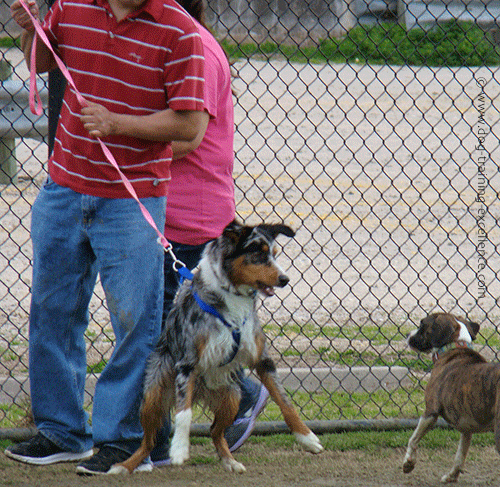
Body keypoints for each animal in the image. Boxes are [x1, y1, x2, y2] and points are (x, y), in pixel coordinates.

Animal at [402, 312, 500, 484]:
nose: (407, 334)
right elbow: (460, 456)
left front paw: (408, 463)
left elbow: (413, 439)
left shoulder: (430, 412)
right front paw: (451, 476)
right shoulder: (466, 428)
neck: (454, 347)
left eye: (422, 324)